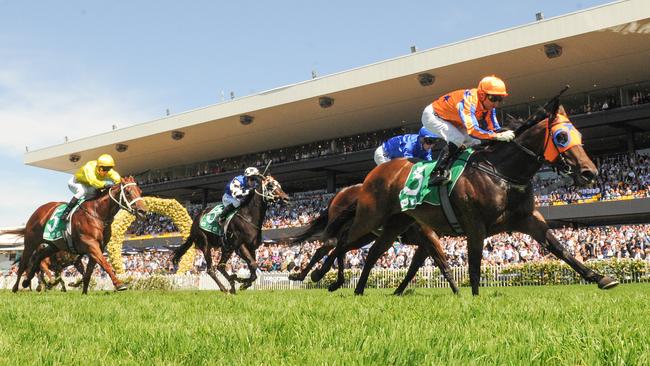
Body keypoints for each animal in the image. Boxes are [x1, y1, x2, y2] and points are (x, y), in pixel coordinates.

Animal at [1, 176, 146, 294]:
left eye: (140, 191)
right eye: (127, 192)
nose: (142, 211)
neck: (97, 214)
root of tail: (39, 210)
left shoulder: (94, 249)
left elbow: (88, 273)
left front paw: (83, 292)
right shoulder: (91, 245)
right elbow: (105, 264)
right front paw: (119, 284)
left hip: (53, 245)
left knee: (39, 257)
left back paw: (29, 282)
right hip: (31, 243)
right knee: (23, 264)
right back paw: (16, 287)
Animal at [286, 183, 458, 294]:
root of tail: (341, 192)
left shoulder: (425, 242)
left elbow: (413, 269)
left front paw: (398, 291)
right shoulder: (427, 236)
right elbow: (441, 263)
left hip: (363, 234)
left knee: (340, 248)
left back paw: (330, 280)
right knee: (329, 247)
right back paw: (308, 275)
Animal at [312, 98, 616, 296]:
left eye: (578, 134)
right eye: (562, 136)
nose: (589, 172)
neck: (501, 172)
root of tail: (367, 179)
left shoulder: (527, 219)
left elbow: (561, 249)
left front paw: (601, 278)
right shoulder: (473, 225)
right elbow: (473, 264)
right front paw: (473, 298)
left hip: (393, 225)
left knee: (372, 252)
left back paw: (358, 290)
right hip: (369, 218)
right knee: (338, 243)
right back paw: (319, 275)